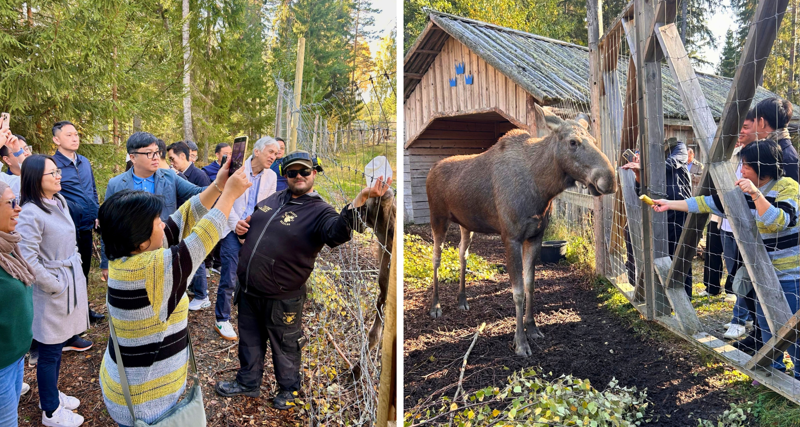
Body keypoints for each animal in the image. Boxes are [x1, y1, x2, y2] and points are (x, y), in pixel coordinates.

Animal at [425, 105, 616, 357]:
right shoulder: (511, 237)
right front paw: (520, 341)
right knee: (436, 258)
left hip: (466, 225)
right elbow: (517, 292)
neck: (542, 189)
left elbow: (530, 285)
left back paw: (462, 299)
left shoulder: (535, 236)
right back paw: (435, 306)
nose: (609, 179)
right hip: (437, 219)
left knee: (462, 254)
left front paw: (532, 328)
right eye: (573, 142)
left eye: (594, 140)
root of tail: (431, 169)